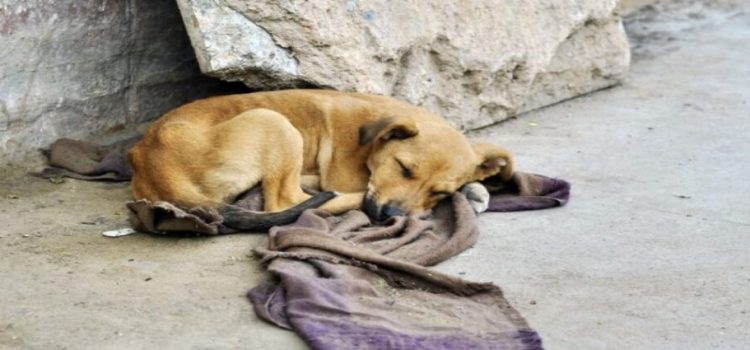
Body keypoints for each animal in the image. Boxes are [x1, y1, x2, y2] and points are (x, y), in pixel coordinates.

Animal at [131, 87, 516, 230]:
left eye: (438, 192)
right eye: (403, 168)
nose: (389, 216)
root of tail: (150, 159)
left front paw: (475, 188)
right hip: (275, 122)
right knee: (283, 202)